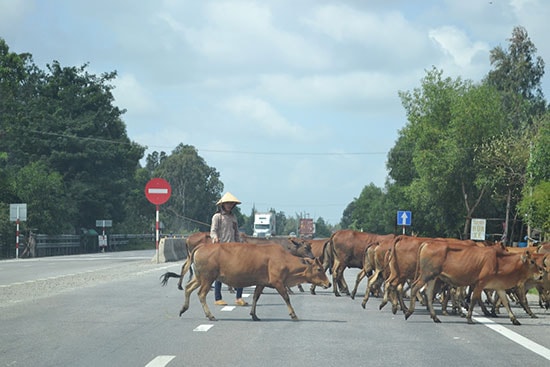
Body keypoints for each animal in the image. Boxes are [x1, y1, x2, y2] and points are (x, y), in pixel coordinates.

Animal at [161, 244, 332, 322]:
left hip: (199, 277)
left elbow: (256, 297)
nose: (328, 284)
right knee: (201, 294)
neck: (285, 261)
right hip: (208, 278)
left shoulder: (261, 283)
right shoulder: (278, 282)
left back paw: (183, 308)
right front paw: (294, 315)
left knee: (188, 288)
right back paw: (210, 315)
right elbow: (286, 298)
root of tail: (201, 245)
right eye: (319, 269)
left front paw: (254, 315)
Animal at [406, 243, 544, 326]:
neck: (499, 262)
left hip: (433, 278)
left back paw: (435, 317)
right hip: (426, 275)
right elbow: (473, 300)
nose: (541, 275)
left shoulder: (499, 287)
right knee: (415, 287)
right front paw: (469, 318)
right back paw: (408, 312)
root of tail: (427, 243)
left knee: (428, 294)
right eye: (532, 261)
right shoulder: (480, 283)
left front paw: (514, 319)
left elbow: (506, 303)